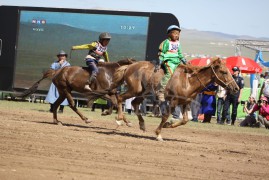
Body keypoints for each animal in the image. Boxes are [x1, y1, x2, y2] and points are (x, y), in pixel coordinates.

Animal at [110, 57, 238, 141]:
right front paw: (158, 133)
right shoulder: (173, 101)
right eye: (224, 72)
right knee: (120, 98)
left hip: (143, 93)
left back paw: (138, 124)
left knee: (134, 103)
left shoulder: (185, 103)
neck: (188, 81)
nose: (236, 88)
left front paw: (168, 125)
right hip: (134, 90)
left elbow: (185, 120)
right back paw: (120, 119)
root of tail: (130, 66)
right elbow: (165, 116)